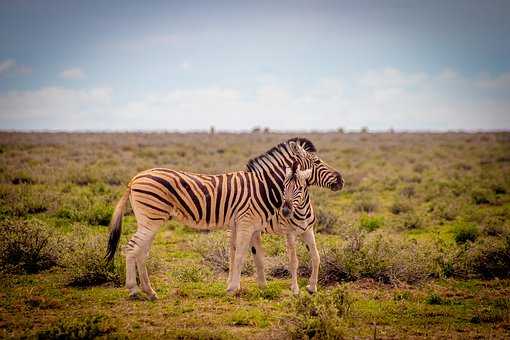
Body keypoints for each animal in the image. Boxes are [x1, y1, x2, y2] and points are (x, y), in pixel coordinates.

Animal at [104, 137, 342, 298]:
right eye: (317, 162)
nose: (340, 180)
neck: (263, 187)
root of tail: (135, 178)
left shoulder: (246, 224)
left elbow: (247, 255)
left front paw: (256, 287)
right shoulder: (246, 222)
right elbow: (240, 256)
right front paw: (234, 288)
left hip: (150, 220)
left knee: (141, 252)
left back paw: (149, 291)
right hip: (151, 218)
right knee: (132, 248)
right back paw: (134, 290)